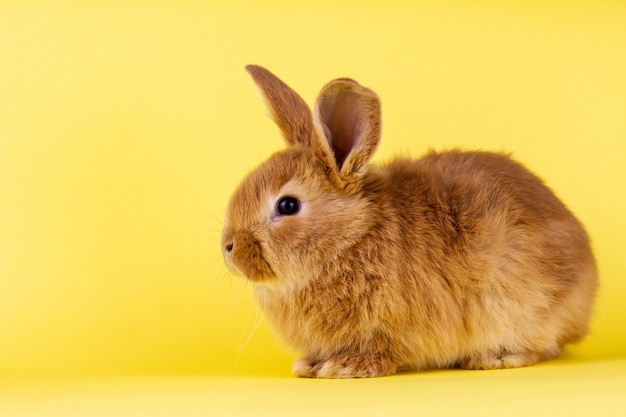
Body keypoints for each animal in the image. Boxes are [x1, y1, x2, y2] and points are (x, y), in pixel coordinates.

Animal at [219, 64, 596, 376]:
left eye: (287, 205)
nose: (228, 248)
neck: (351, 237)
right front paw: (309, 365)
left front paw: (344, 367)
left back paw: (496, 358)